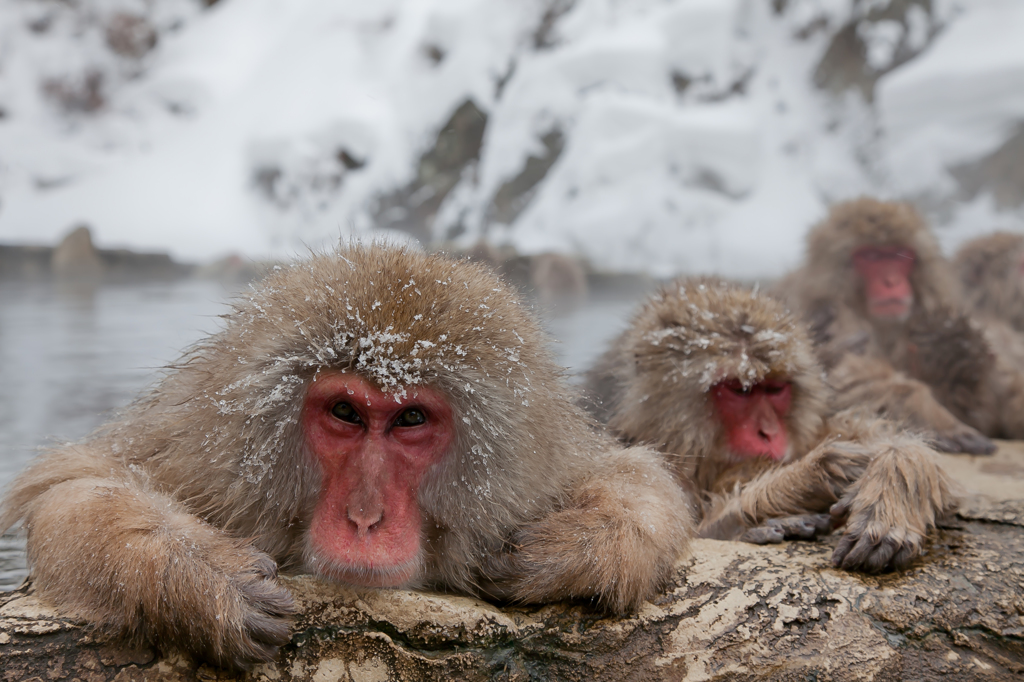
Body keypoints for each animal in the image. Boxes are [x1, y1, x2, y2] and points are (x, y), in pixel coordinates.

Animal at [2, 245, 688, 667]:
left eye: (410, 419)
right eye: (346, 414)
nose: (364, 518)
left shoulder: (539, 465)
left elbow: (628, 472)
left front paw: (581, 546)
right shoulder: (208, 455)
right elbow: (71, 484)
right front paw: (200, 575)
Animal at [774, 196, 1024, 450]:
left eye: (899, 255)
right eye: (871, 256)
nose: (891, 280)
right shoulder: (834, 312)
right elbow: (846, 377)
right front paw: (935, 419)